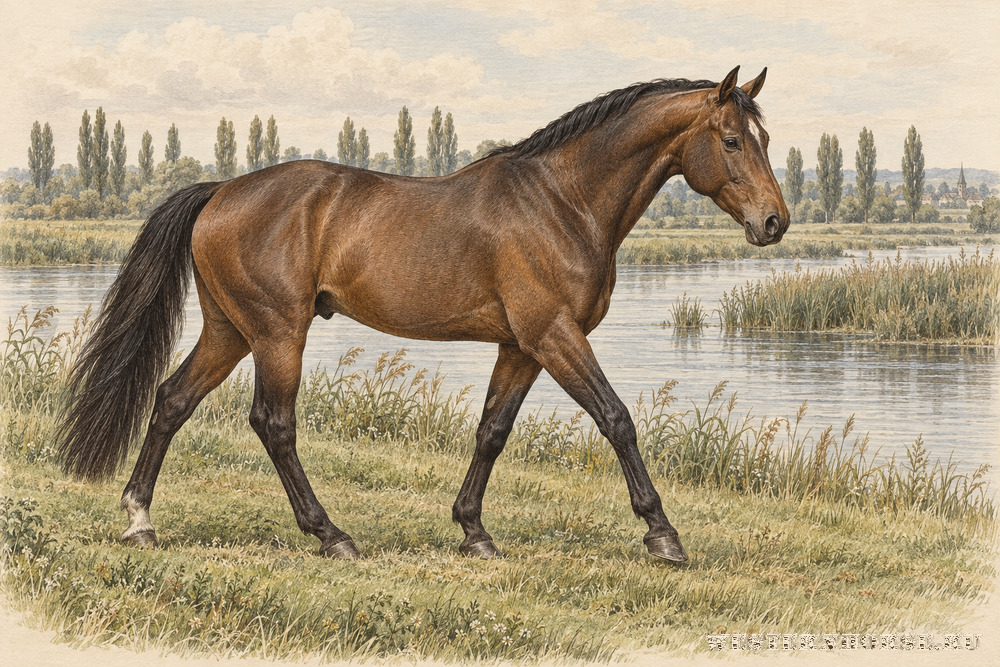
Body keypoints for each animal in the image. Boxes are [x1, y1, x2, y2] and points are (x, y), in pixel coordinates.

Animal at [58, 66, 788, 563]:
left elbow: (491, 431)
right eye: (731, 140)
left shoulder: (521, 346)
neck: (561, 200)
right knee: (273, 423)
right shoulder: (555, 335)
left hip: (229, 329)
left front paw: (473, 530)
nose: (774, 222)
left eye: (764, 136)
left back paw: (140, 520)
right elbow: (616, 418)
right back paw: (332, 534)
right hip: (276, 332)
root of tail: (221, 191)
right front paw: (662, 533)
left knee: (172, 400)